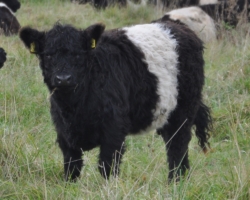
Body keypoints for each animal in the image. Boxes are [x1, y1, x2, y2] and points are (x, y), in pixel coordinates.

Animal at [19, 20, 212, 183]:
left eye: (78, 54)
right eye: (48, 55)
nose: (63, 78)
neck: (74, 108)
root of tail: (179, 27)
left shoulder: (114, 129)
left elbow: (107, 165)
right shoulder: (64, 133)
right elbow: (72, 166)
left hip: (184, 110)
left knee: (177, 146)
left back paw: (175, 181)